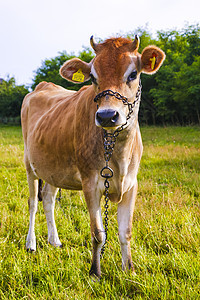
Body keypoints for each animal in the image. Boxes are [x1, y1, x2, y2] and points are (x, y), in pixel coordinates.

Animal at [21, 35, 165, 278]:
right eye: (93, 77)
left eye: (133, 74)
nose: (107, 115)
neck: (118, 152)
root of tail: (42, 85)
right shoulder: (90, 183)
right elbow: (98, 233)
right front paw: (95, 272)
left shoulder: (132, 184)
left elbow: (125, 231)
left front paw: (129, 270)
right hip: (29, 164)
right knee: (33, 203)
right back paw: (31, 243)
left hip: (53, 168)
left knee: (48, 199)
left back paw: (54, 240)